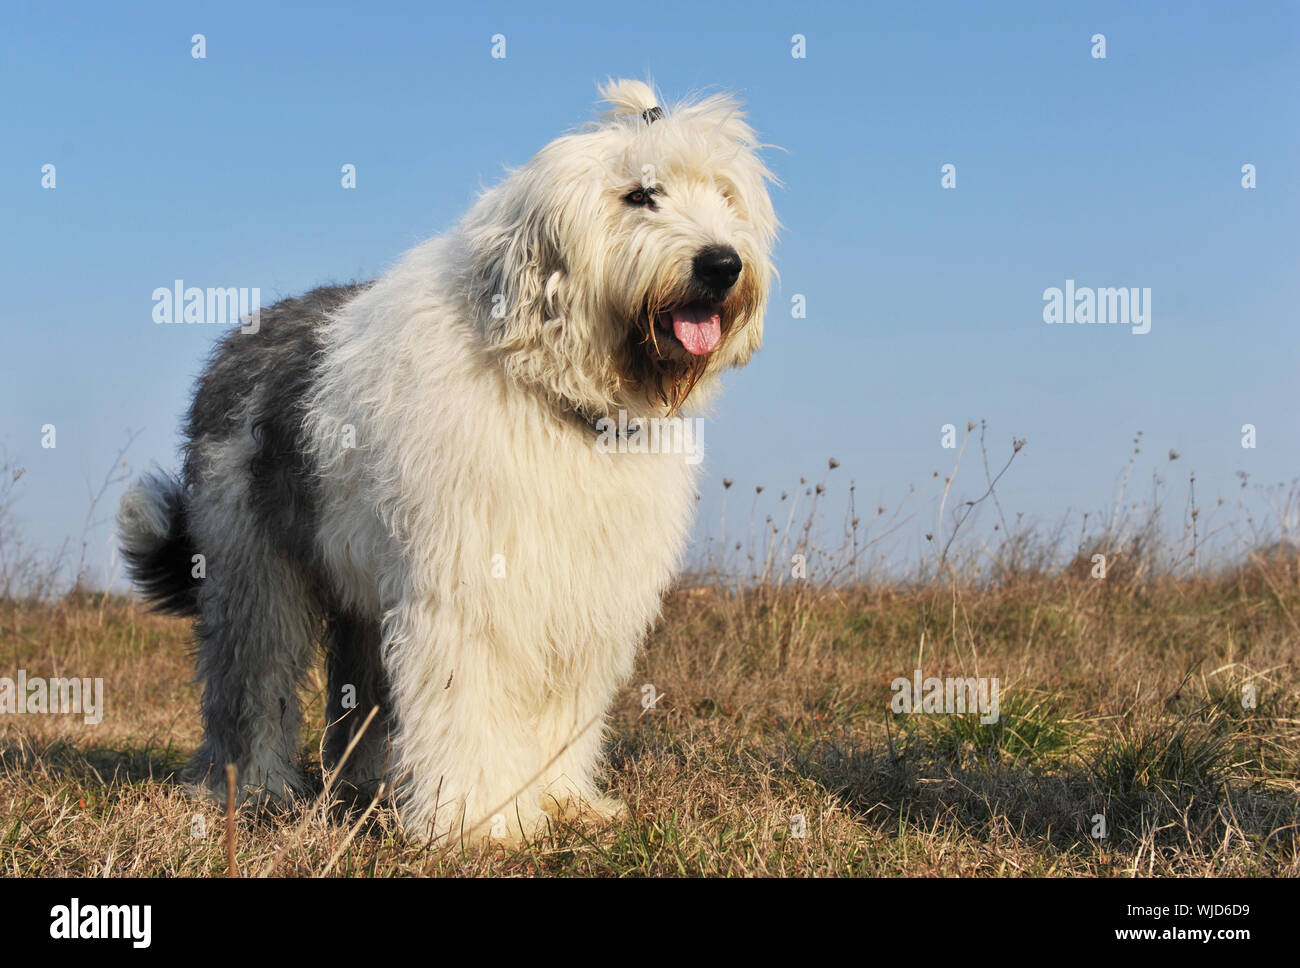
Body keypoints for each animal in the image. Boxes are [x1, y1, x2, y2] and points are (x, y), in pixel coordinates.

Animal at [116, 79, 774, 841]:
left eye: (725, 195)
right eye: (640, 194)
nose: (721, 264)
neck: (551, 387)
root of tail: (242, 335)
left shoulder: (581, 594)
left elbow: (559, 706)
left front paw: (560, 801)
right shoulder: (473, 586)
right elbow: (469, 699)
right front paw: (481, 820)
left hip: (360, 585)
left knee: (362, 689)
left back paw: (366, 784)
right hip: (251, 564)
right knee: (254, 675)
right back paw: (252, 788)